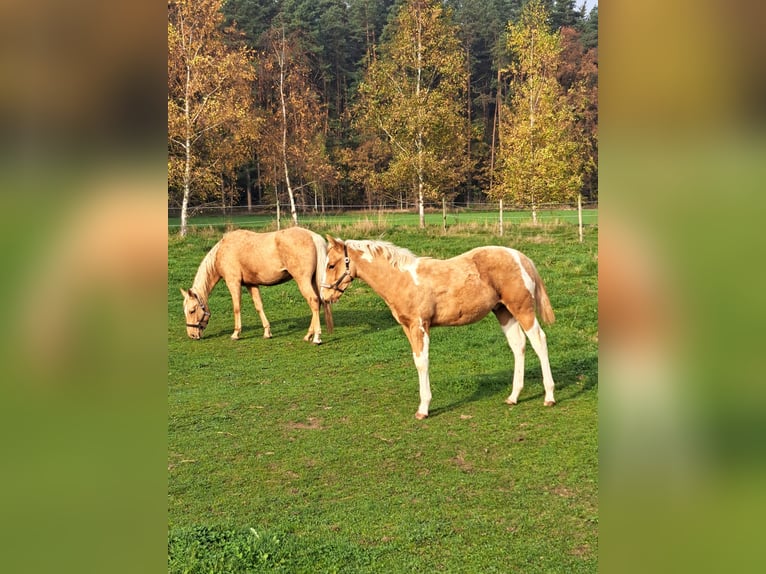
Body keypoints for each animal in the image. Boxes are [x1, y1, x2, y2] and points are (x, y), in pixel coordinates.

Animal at [183, 228, 336, 346]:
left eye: (192, 310)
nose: (192, 335)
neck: (223, 250)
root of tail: (313, 236)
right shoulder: (251, 284)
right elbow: (259, 306)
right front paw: (267, 332)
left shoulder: (233, 282)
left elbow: (236, 308)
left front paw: (236, 333)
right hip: (312, 281)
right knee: (319, 302)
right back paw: (308, 335)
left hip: (303, 280)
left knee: (314, 301)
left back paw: (316, 337)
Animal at [324, 236, 560, 420]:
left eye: (331, 265)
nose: (325, 295)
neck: (401, 279)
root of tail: (521, 258)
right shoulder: (408, 327)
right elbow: (416, 360)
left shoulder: (420, 325)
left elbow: (422, 362)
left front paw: (423, 409)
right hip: (503, 311)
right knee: (518, 345)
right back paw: (513, 396)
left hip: (522, 309)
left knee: (539, 340)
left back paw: (549, 396)